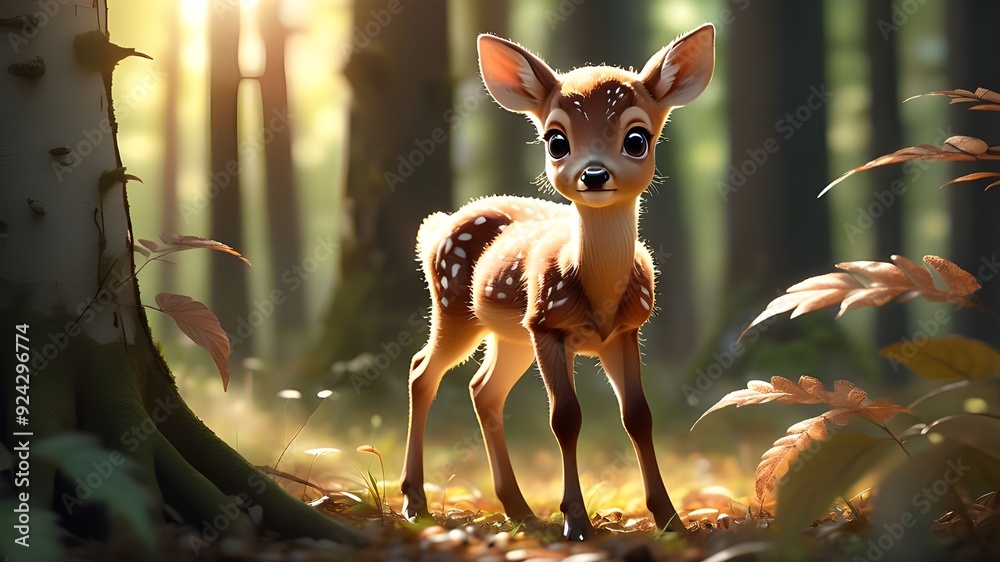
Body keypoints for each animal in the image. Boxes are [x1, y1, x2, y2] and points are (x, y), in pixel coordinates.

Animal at [400, 24, 715, 540]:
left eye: (637, 138)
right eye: (556, 141)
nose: (594, 173)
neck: (597, 294)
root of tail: (436, 228)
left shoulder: (625, 331)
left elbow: (638, 416)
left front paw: (671, 520)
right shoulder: (547, 325)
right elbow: (565, 418)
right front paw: (577, 522)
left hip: (511, 335)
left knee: (483, 389)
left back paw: (520, 510)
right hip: (455, 307)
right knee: (422, 370)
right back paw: (415, 502)